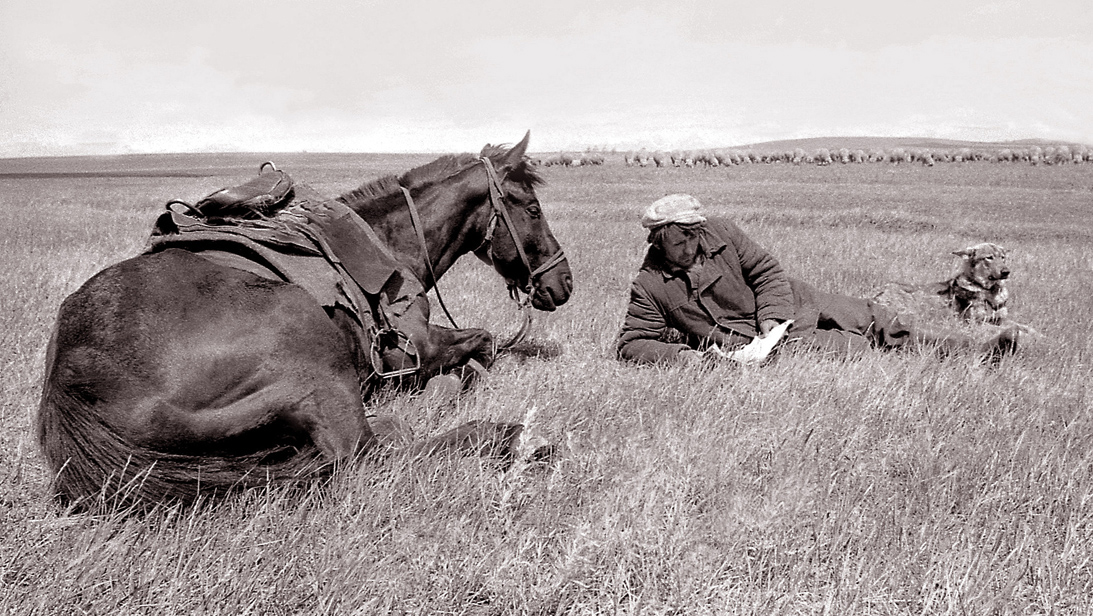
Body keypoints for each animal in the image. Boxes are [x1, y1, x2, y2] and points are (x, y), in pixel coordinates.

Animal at [34, 132, 572, 513]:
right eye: (532, 207)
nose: (563, 281)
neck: (391, 243)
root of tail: (73, 378)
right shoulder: (415, 348)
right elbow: (483, 345)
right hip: (315, 360)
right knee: (369, 455)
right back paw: (513, 436)